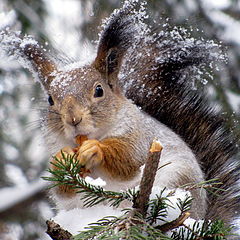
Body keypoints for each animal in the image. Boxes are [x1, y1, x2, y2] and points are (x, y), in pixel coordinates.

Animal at [2, 0, 239, 230]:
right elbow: (62, 187)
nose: (73, 119)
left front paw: (95, 149)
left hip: (177, 181)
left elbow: (127, 160)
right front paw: (63, 158)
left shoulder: (139, 136)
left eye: (99, 91)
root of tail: (201, 218)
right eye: (50, 99)